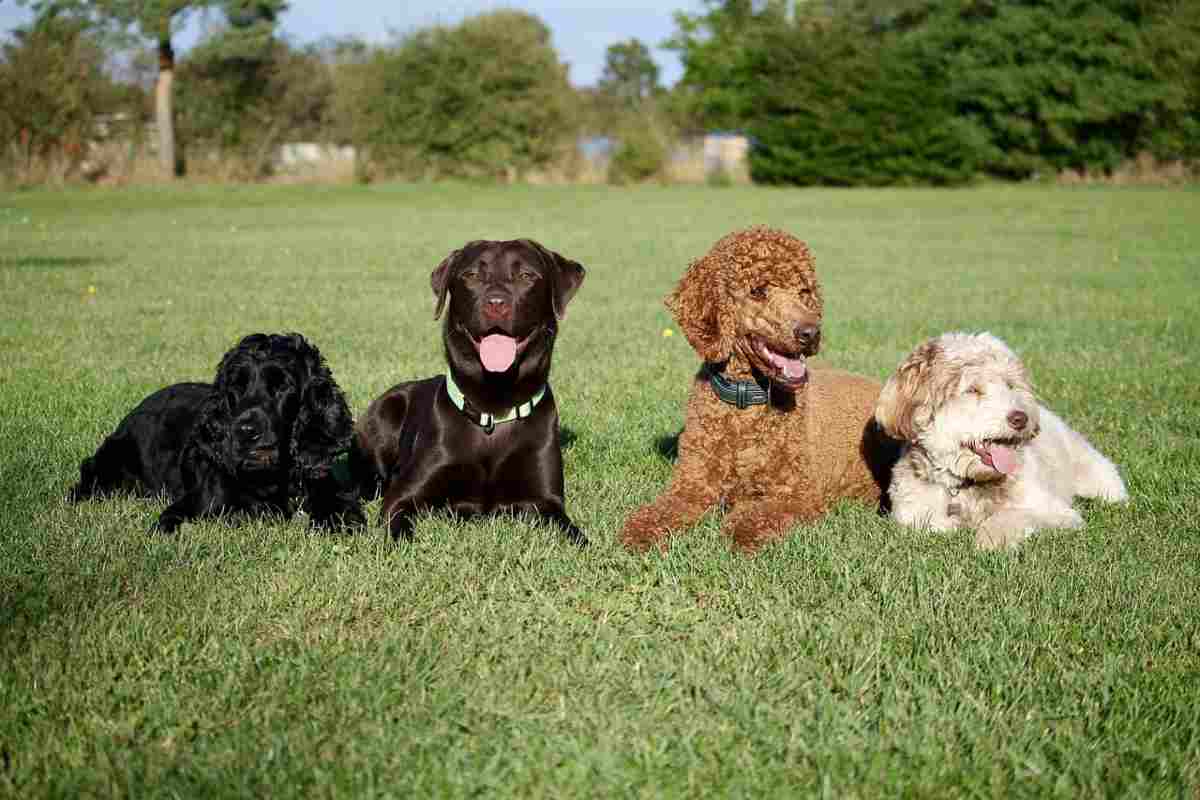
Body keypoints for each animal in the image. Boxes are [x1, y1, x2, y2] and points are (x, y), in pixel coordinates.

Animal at [350, 237, 585, 544]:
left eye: (526, 276)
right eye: (472, 275)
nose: (495, 303)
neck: (494, 407)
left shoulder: (548, 502)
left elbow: (575, 536)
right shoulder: (401, 496)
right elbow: (400, 529)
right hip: (386, 411)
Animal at [624, 225, 897, 551]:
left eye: (804, 292)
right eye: (757, 291)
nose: (810, 332)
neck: (746, 406)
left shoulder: (797, 494)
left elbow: (752, 518)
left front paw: (737, 532)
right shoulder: (691, 485)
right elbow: (662, 510)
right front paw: (640, 532)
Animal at [873, 333, 1123, 551]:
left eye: (1010, 385)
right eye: (972, 390)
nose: (1021, 418)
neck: (970, 484)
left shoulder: (1056, 511)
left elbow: (1012, 515)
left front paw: (990, 540)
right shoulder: (909, 509)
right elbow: (927, 523)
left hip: (1098, 478)